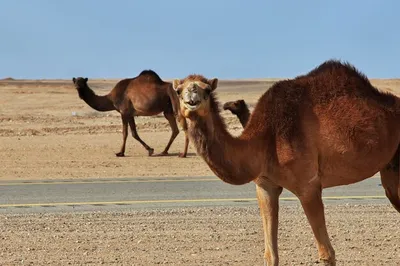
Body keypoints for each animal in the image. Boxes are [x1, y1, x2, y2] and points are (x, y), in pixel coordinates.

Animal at [172, 59, 400, 264]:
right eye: (179, 90)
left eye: (207, 89)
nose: (192, 98)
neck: (265, 137)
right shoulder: (265, 185)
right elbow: (270, 255)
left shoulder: (308, 186)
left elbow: (326, 253)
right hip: (389, 170)